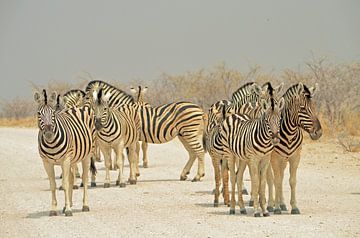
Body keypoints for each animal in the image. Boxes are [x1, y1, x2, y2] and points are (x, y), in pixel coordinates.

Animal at [217, 87, 284, 216]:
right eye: (267, 121)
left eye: (279, 120)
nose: (275, 139)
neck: (265, 141)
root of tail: (235, 115)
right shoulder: (254, 159)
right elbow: (256, 181)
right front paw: (257, 211)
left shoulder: (265, 159)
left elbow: (262, 182)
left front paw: (264, 210)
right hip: (230, 154)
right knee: (233, 177)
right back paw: (232, 208)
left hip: (242, 157)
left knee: (239, 176)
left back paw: (242, 208)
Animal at [268, 82, 324, 215]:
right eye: (303, 108)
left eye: (314, 107)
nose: (318, 133)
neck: (289, 134)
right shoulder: (275, 158)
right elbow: (276, 180)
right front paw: (276, 208)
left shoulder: (295, 157)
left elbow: (292, 181)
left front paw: (294, 207)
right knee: (270, 178)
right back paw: (270, 205)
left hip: (284, 160)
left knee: (280, 177)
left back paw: (282, 204)